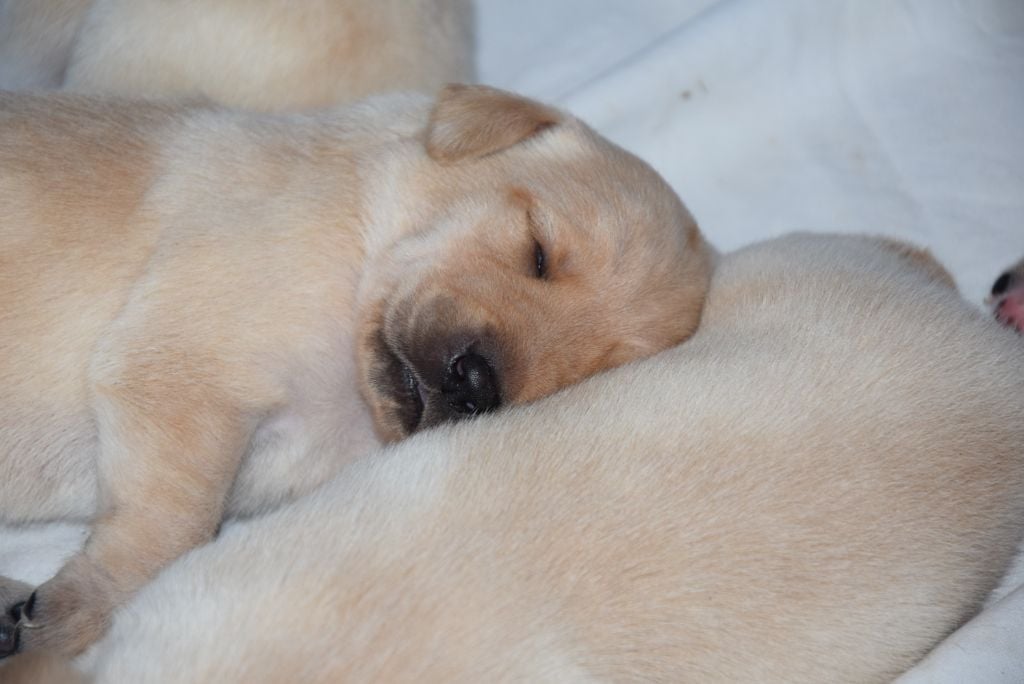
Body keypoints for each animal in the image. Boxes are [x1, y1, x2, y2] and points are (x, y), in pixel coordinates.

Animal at [0, 85, 712, 655]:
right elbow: (172, 524)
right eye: (538, 251)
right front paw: (82, 607)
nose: (477, 384)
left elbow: (178, 520)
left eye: (581, 372)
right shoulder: (189, 362)